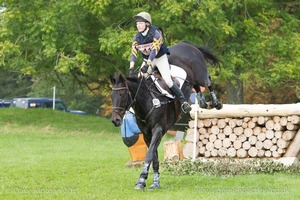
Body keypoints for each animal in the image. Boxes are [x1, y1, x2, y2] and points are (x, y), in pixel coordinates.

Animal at [110, 41, 223, 190]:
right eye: (111, 96)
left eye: (122, 95)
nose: (115, 120)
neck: (147, 99)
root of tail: (187, 44)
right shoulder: (147, 134)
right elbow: (154, 157)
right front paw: (155, 182)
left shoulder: (158, 129)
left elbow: (149, 155)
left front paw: (141, 180)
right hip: (192, 79)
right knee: (196, 85)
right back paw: (202, 102)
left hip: (200, 74)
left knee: (207, 81)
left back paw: (216, 102)